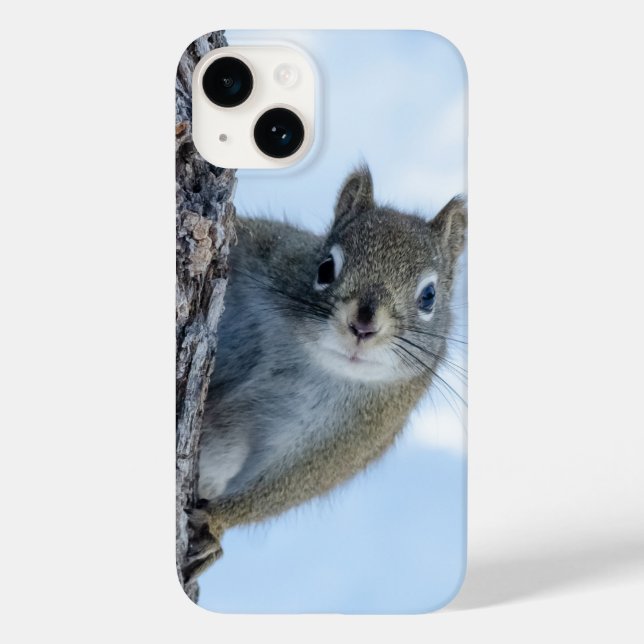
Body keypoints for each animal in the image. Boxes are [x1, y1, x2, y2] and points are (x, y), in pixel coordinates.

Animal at [183, 165, 467, 583]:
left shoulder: (354, 434)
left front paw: (217, 524)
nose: (363, 325)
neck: (313, 358)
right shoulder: (269, 252)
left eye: (429, 297)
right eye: (325, 268)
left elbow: (292, 482)